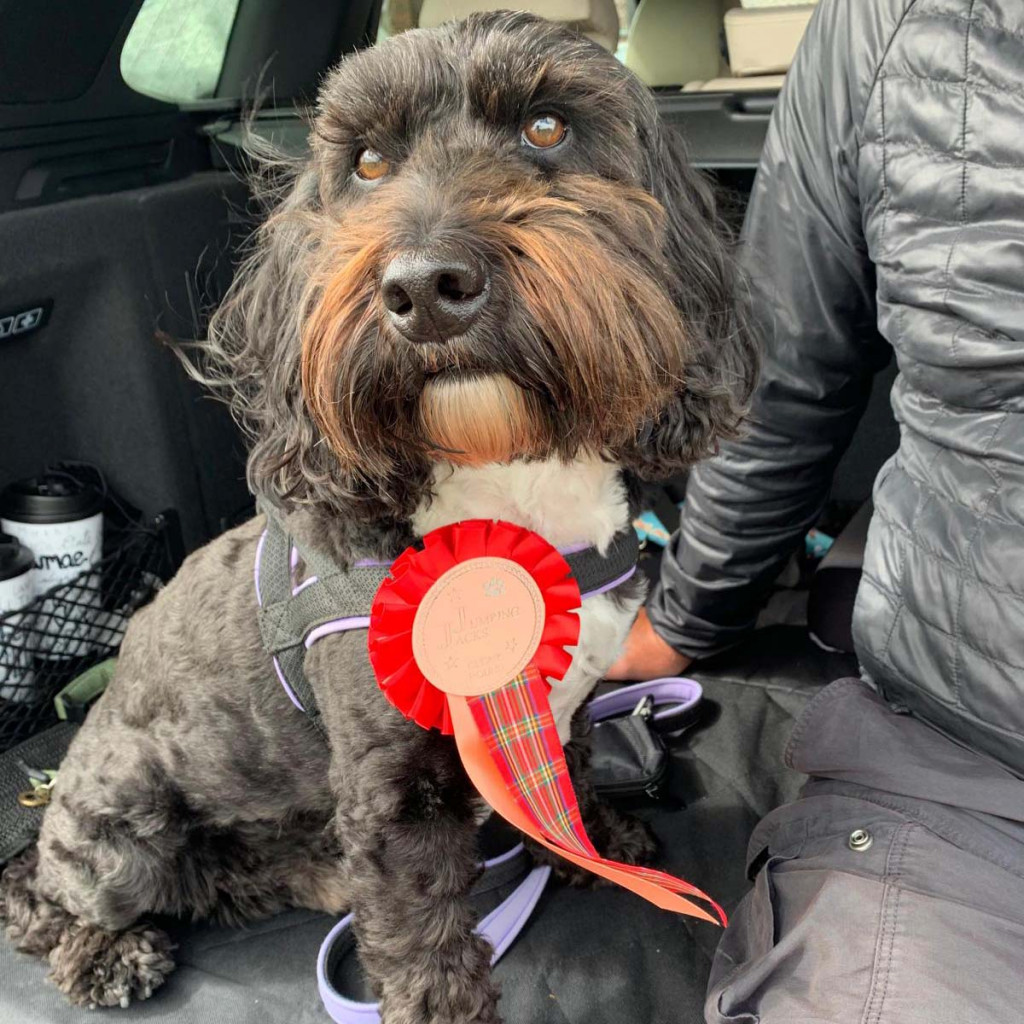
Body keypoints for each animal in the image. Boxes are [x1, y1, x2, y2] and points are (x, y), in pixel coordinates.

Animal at [0, 12, 753, 1019]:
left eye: (546, 127)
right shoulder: (394, 790)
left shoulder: (563, 708)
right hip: (125, 816)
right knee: (57, 898)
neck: (510, 494)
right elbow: (421, 933)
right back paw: (104, 953)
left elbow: (562, 781)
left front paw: (590, 845)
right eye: (365, 162)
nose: (424, 286)